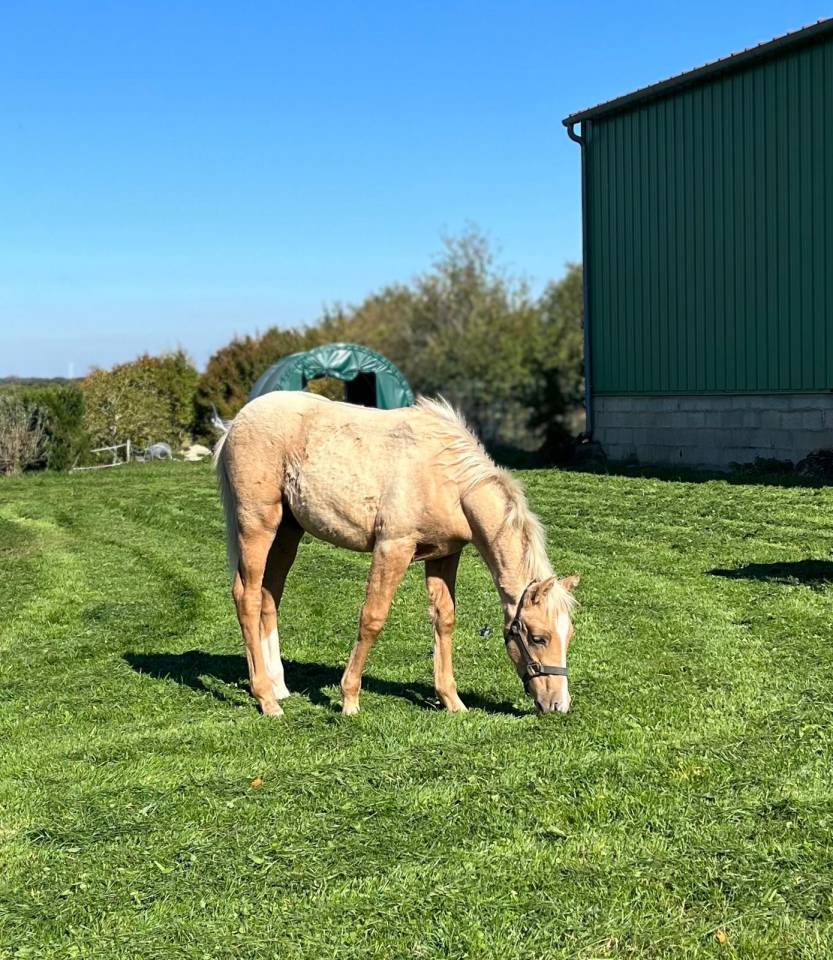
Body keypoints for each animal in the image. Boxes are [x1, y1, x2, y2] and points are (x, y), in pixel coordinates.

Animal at [214, 391, 579, 717]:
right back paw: (266, 699)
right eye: (539, 637)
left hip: (288, 532)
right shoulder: (393, 548)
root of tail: (235, 423)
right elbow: (372, 618)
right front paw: (349, 700)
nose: (558, 705)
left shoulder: (444, 556)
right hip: (258, 525)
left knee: (269, 597)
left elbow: (444, 619)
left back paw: (279, 686)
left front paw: (452, 701)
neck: (448, 481)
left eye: (569, 634)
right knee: (247, 597)